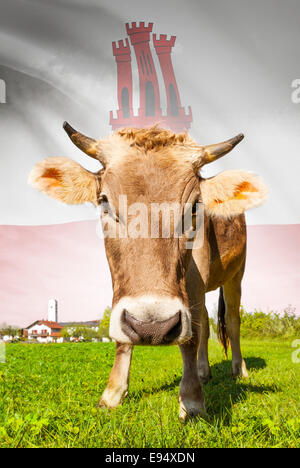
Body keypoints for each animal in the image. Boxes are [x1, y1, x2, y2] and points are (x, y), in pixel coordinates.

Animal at [28, 122, 268, 418]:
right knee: (206, 324)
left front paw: (192, 400)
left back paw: (239, 370)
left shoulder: (196, 276)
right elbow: (125, 334)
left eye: (195, 207)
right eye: (104, 201)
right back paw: (203, 372)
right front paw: (112, 393)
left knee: (232, 322)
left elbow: (191, 335)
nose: (152, 327)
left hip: (236, 274)